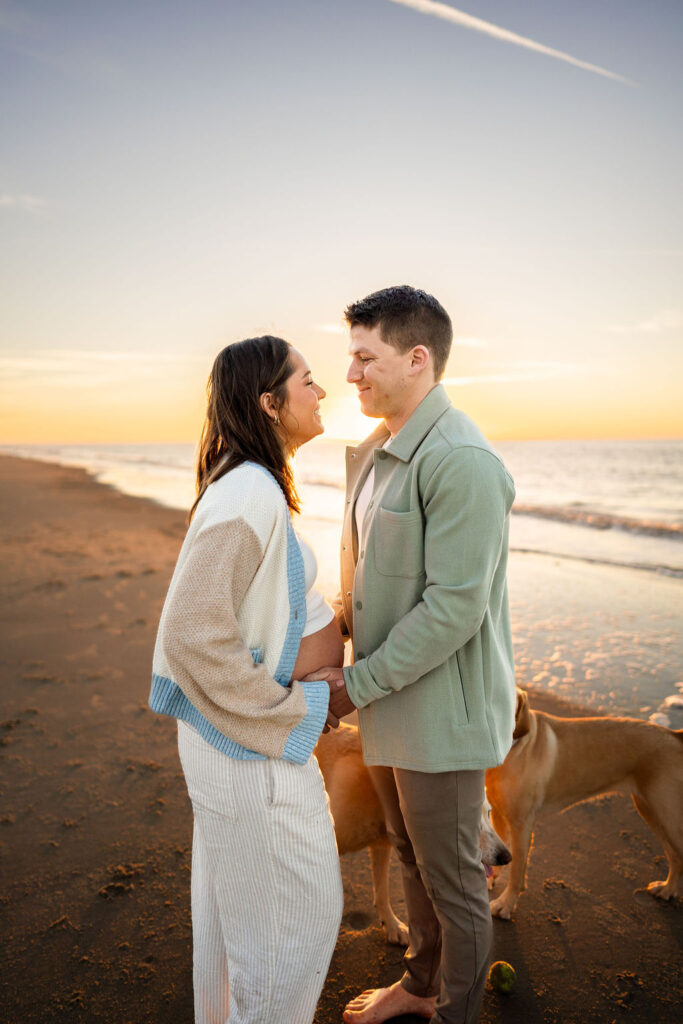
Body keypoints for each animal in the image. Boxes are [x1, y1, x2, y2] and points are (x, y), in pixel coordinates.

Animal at [315, 720, 511, 942]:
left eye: (489, 813)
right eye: (471, 822)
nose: (507, 857)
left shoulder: (381, 844)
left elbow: (381, 891)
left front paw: (392, 927)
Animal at [485, 688, 683, 921]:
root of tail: (674, 735)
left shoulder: (521, 824)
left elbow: (516, 869)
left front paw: (506, 903)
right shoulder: (498, 814)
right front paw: (491, 880)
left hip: (668, 816)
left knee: (677, 854)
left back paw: (669, 888)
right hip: (650, 810)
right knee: (674, 855)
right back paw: (668, 889)